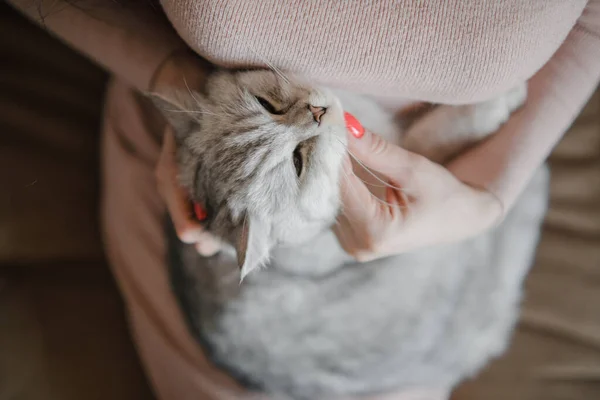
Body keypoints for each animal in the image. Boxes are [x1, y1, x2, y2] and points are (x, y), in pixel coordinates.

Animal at [151, 69, 548, 400]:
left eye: (267, 105)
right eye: (297, 162)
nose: (316, 111)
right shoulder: (399, 166)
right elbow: (433, 135)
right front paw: (501, 101)